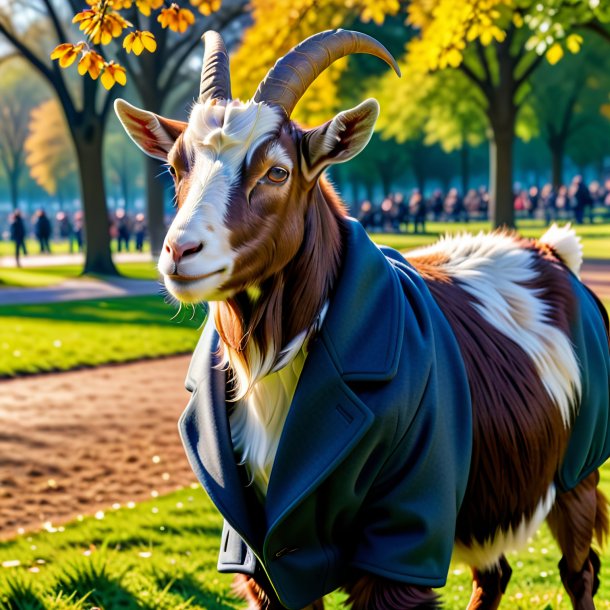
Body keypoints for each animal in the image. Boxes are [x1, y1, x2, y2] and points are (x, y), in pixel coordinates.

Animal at [115, 27, 608, 608]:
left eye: (277, 171)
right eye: (175, 167)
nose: (179, 251)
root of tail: (552, 252)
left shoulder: (405, 525)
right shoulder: (259, 548)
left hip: (577, 469)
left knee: (578, 570)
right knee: (496, 573)